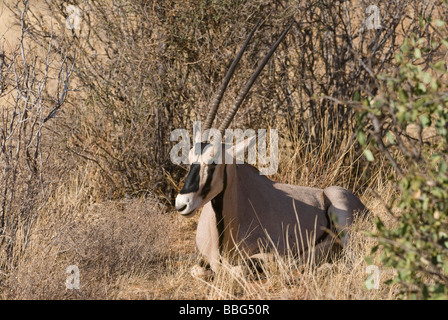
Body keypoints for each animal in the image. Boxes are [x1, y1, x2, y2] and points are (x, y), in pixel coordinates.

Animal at [175, 20, 368, 276]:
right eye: (189, 159)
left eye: (214, 163)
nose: (181, 203)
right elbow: (197, 270)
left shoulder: (271, 256)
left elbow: (237, 270)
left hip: (343, 220)